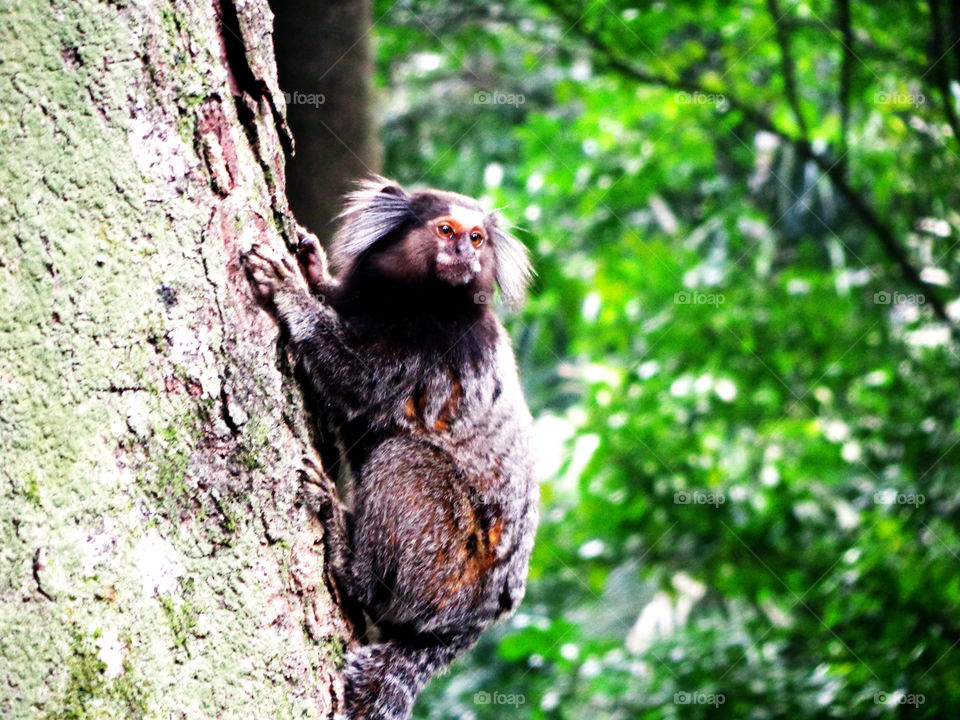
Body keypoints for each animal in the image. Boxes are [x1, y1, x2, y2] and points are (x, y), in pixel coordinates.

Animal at [241, 177, 539, 720]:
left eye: (478, 239)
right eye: (447, 230)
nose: (465, 252)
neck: (417, 302)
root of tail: (475, 620)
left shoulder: (436, 349)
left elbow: (357, 380)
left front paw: (291, 291)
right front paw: (314, 270)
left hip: (447, 558)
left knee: (404, 458)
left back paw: (346, 551)